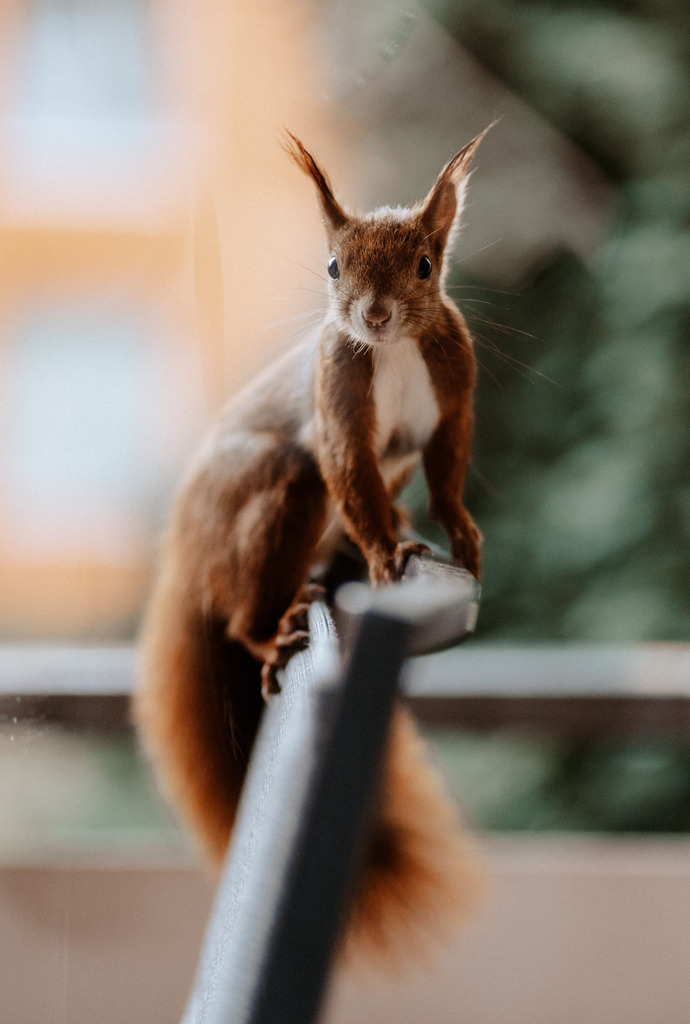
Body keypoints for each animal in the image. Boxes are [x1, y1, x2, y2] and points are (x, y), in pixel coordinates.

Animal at [135, 130, 487, 956]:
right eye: (332, 265)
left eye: (425, 264)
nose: (375, 315)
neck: (394, 351)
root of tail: (186, 555)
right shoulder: (338, 394)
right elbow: (348, 472)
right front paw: (389, 554)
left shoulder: (451, 393)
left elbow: (446, 472)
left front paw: (456, 532)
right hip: (275, 501)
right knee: (244, 608)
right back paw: (272, 630)